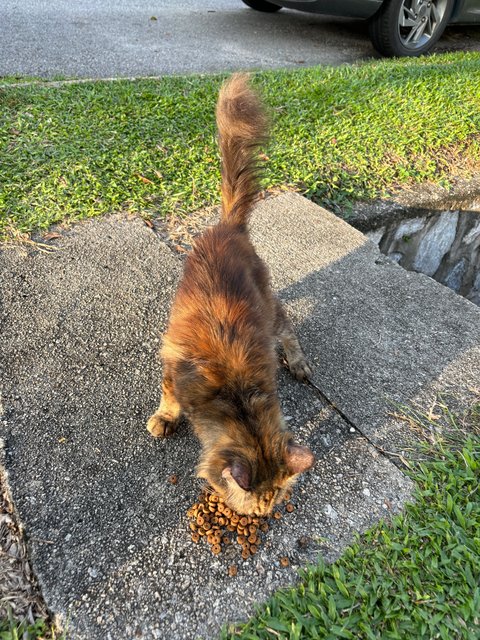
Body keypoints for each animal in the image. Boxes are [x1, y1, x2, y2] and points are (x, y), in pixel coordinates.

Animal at [146, 74, 316, 516]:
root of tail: (229, 226)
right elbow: (167, 397)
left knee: (287, 327)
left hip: (265, 300)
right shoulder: (172, 365)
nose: (259, 518)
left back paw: (298, 362)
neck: (234, 396)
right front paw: (165, 418)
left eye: (265, 509)